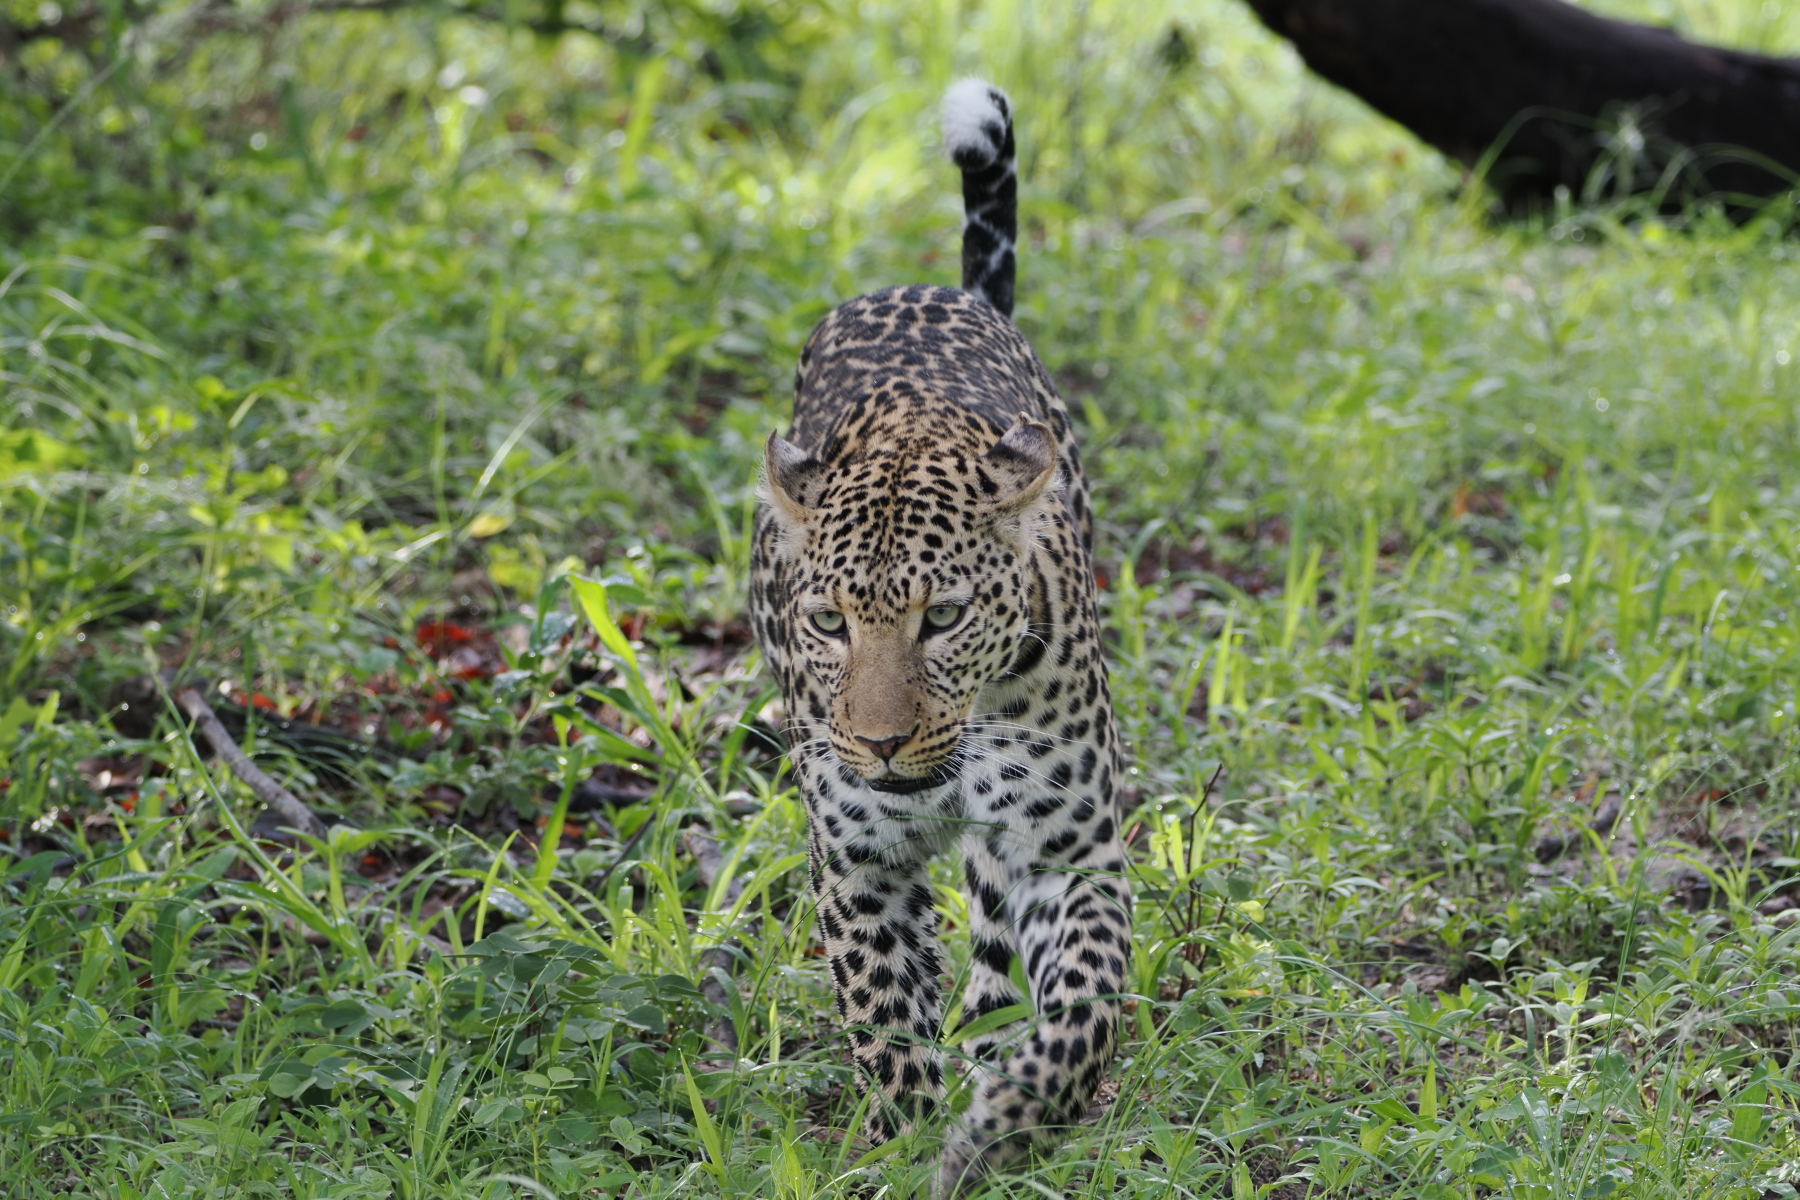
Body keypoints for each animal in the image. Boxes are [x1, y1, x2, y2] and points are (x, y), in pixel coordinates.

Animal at [748, 79, 1130, 1195]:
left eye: (945, 618)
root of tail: (938, 291)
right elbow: (883, 1021)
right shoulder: (858, 862)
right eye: (830, 622)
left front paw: (1005, 1123)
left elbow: (1086, 1006)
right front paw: (902, 1141)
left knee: (995, 938)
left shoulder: (1069, 853)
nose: (879, 745)